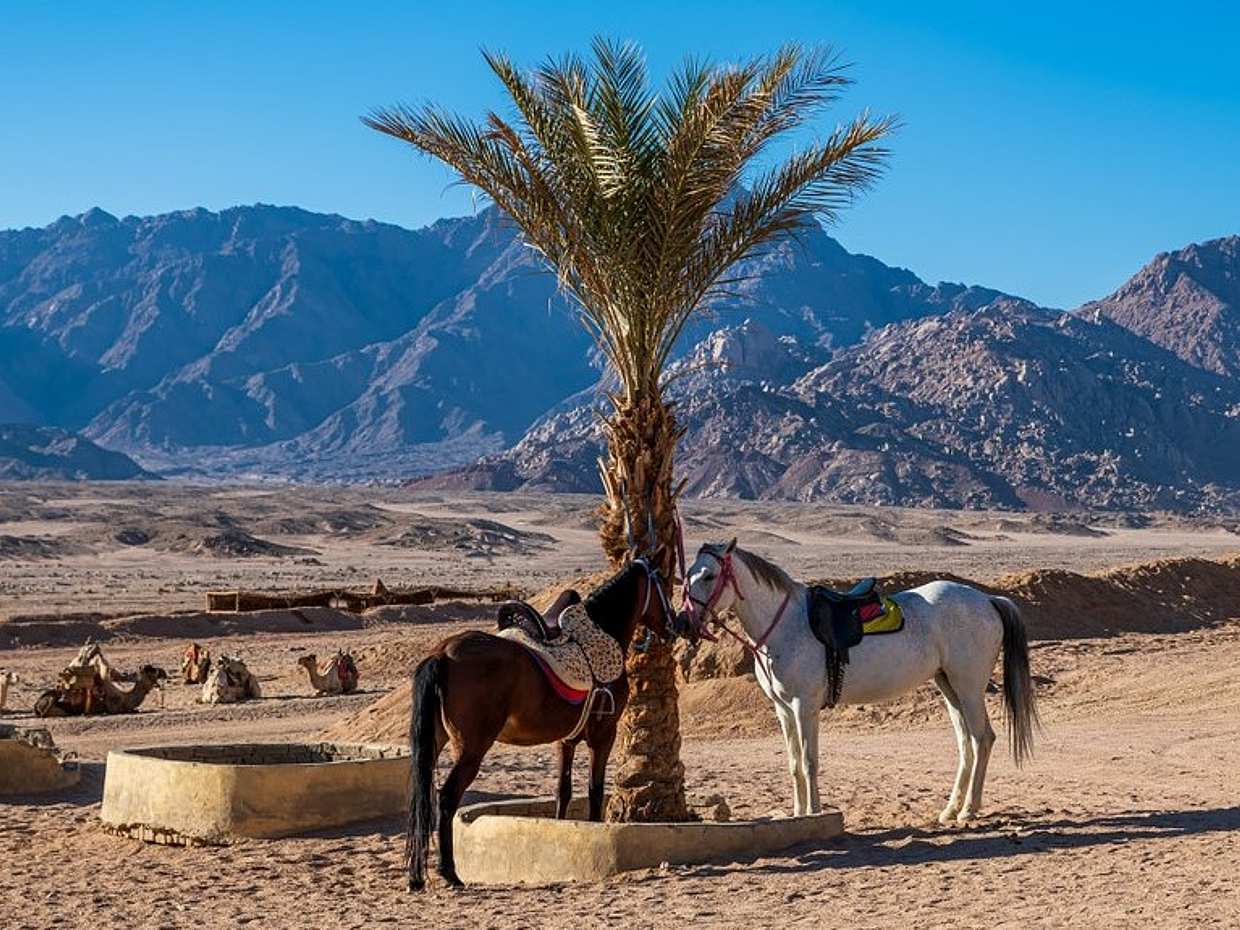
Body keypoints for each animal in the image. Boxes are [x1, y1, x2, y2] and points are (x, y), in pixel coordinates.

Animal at [405, 557, 675, 891]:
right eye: (664, 586)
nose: (677, 625)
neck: (603, 629)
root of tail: (442, 654)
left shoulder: (565, 740)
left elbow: (563, 791)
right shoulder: (603, 735)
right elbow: (595, 790)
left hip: (435, 741)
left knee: (422, 795)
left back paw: (416, 876)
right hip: (471, 748)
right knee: (445, 798)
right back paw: (449, 872)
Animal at [679, 540, 1039, 824]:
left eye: (709, 576)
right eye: (687, 575)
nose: (683, 622)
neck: (786, 625)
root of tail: (988, 600)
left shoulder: (804, 706)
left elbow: (809, 761)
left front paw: (814, 813)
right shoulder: (783, 709)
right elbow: (794, 763)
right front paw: (797, 814)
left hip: (969, 687)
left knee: (982, 739)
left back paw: (969, 809)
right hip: (949, 686)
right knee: (966, 743)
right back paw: (951, 809)